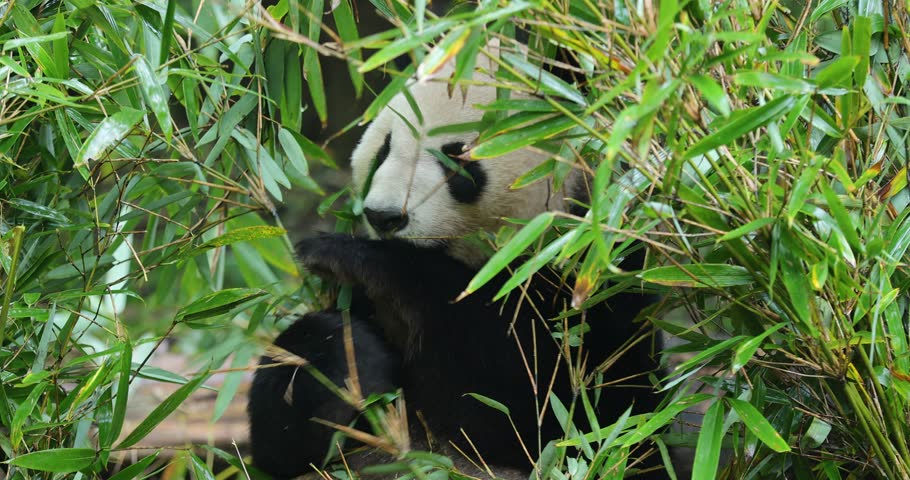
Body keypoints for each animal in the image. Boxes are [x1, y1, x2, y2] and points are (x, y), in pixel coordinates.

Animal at [248, 46, 661, 479]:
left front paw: (349, 256)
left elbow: (545, 411)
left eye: (458, 156)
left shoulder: (594, 283)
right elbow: (281, 450)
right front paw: (341, 355)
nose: (384, 216)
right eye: (383, 149)